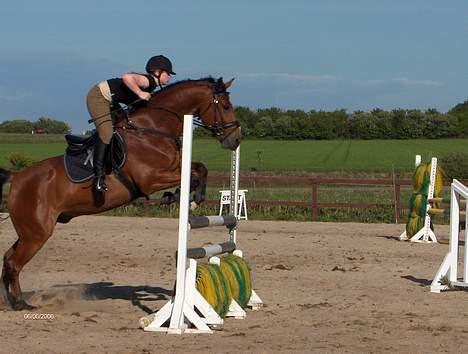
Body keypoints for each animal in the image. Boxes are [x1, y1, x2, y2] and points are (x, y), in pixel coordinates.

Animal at [0, 76, 241, 308]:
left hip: (28, 232)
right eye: (226, 105)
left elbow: (200, 168)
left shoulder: (175, 167)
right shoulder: (151, 179)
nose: (236, 139)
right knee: (14, 263)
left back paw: (12, 300)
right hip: (36, 234)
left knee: (8, 258)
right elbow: (193, 175)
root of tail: (17, 177)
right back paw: (20, 303)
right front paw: (189, 198)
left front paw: (181, 196)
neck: (152, 129)